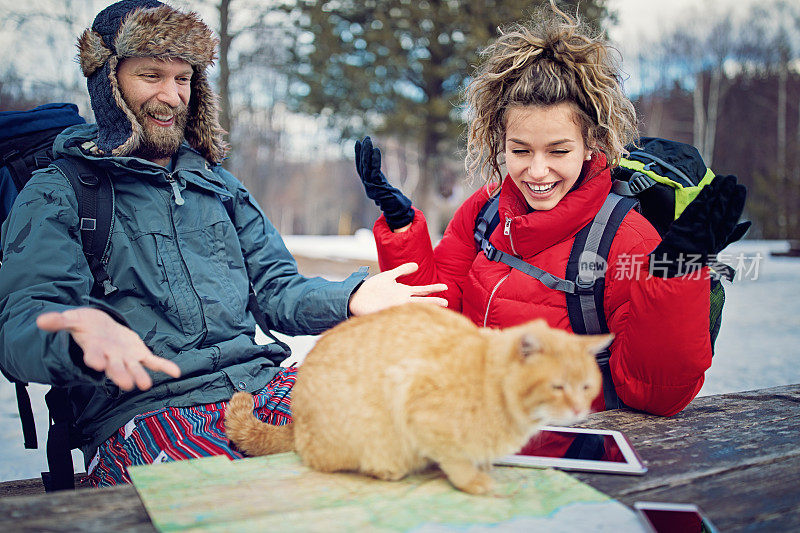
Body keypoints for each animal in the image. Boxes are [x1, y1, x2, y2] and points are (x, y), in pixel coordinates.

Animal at [225, 302, 608, 492]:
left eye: (587, 387)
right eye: (558, 386)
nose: (579, 409)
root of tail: (295, 423)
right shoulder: (421, 412)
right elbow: (455, 461)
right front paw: (475, 482)